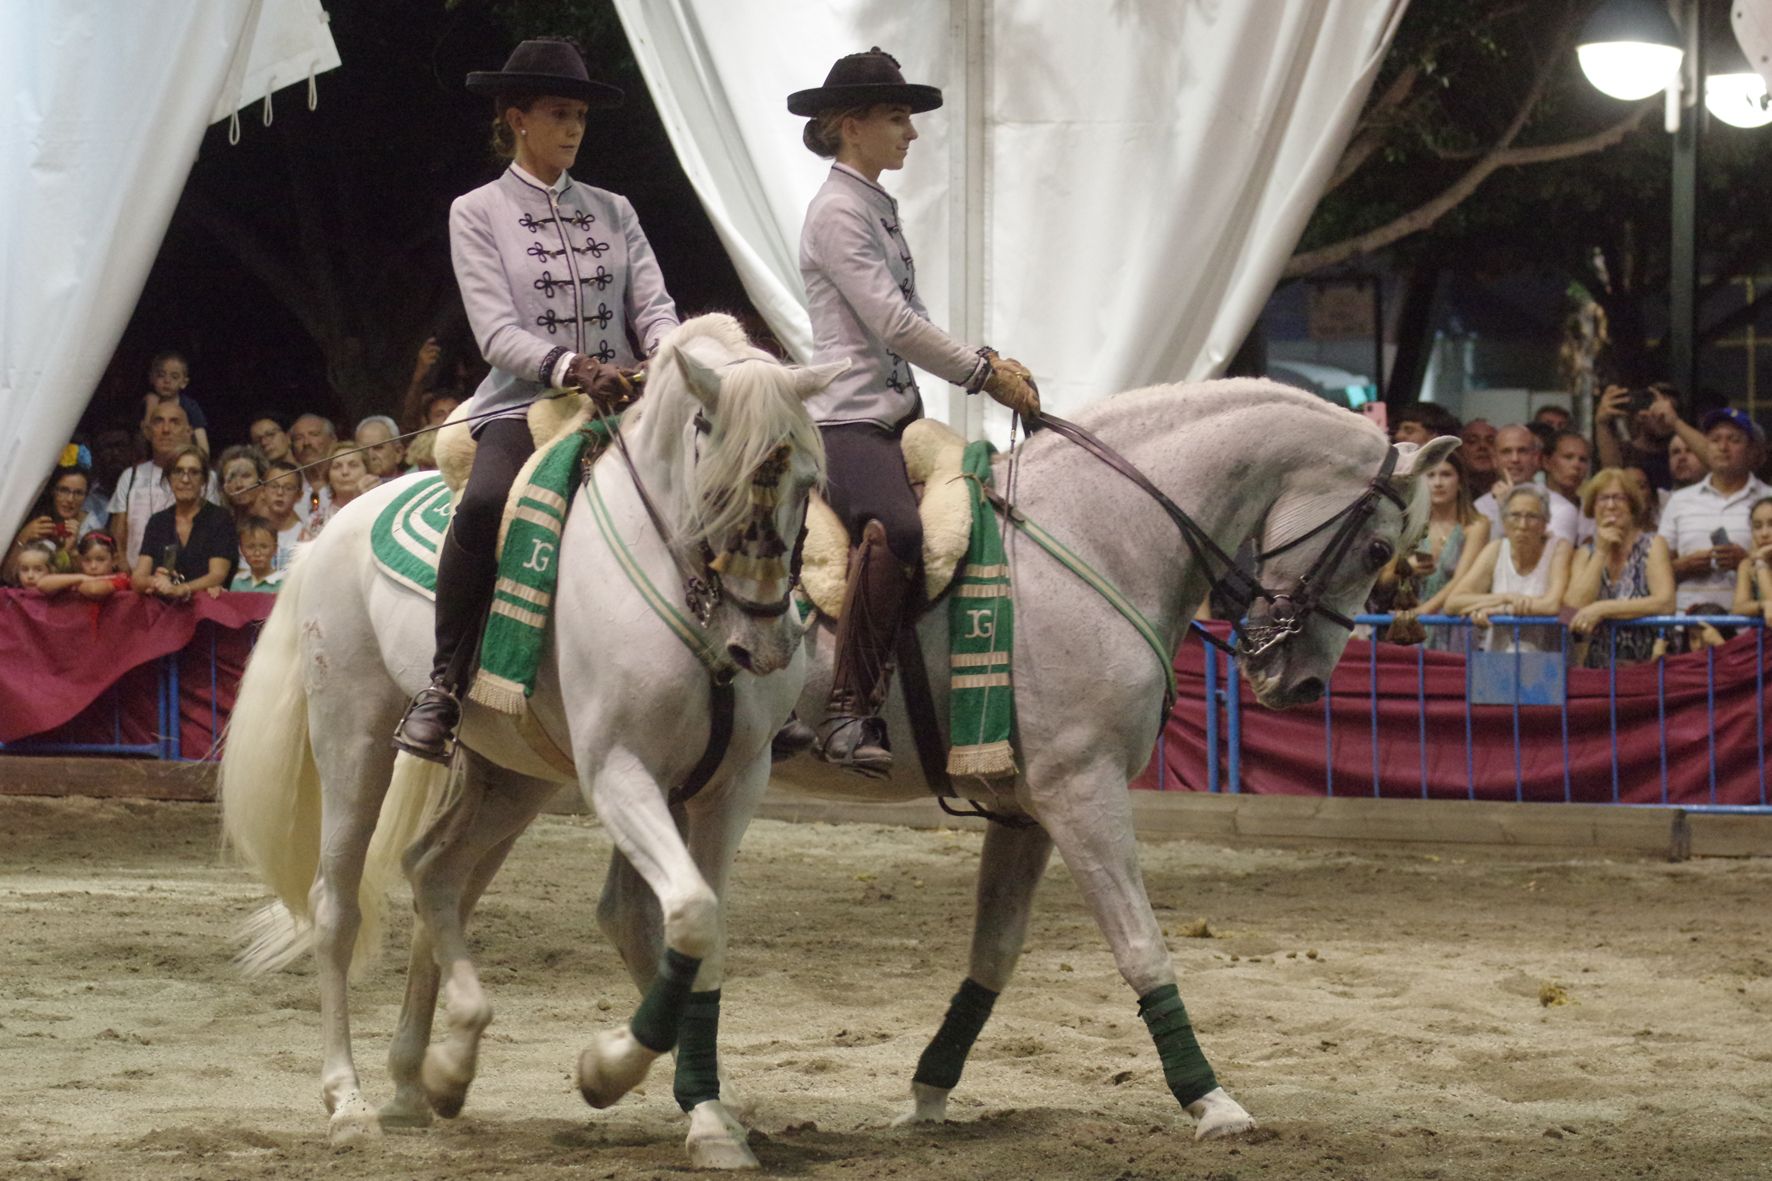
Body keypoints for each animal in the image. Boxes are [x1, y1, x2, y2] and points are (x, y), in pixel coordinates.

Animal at [221, 310, 843, 1156]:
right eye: (720, 482)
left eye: (809, 483)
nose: (763, 647)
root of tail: (331, 524)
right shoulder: (619, 771)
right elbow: (686, 911)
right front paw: (608, 1068)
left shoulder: (730, 783)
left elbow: (699, 928)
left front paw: (710, 1113)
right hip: (353, 739)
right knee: (339, 905)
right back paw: (349, 1101)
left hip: (512, 776)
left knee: (436, 874)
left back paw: (432, 1074)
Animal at [776, 377, 1453, 1134]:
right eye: (1377, 549)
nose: (1303, 684)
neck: (1100, 531)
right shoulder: (1081, 788)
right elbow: (1141, 944)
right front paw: (1210, 1099)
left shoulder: (1026, 809)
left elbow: (995, 952)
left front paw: (928, 1093)